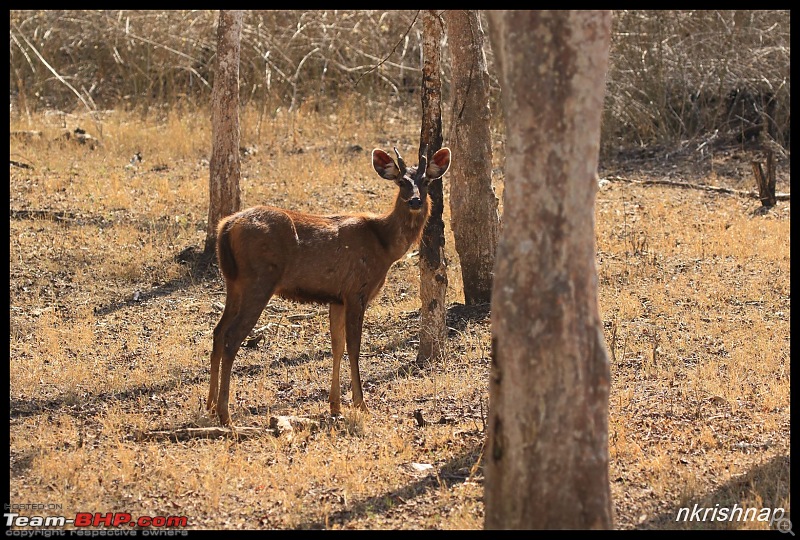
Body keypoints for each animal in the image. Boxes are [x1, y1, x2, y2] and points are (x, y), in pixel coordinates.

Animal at [205, 146, 450, 424]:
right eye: (401, 182)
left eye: (426, 181)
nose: (415, 201)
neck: (385, 246)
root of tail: (226, 227)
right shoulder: (357, 290)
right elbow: (354, 346)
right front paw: (361, 404)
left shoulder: (337, 297)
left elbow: (337, 346)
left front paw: (335, 405)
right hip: (258, 281)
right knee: (232, 337)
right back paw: (225, 414)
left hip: (234, 283)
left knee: (218, 332)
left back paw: (210, 405)